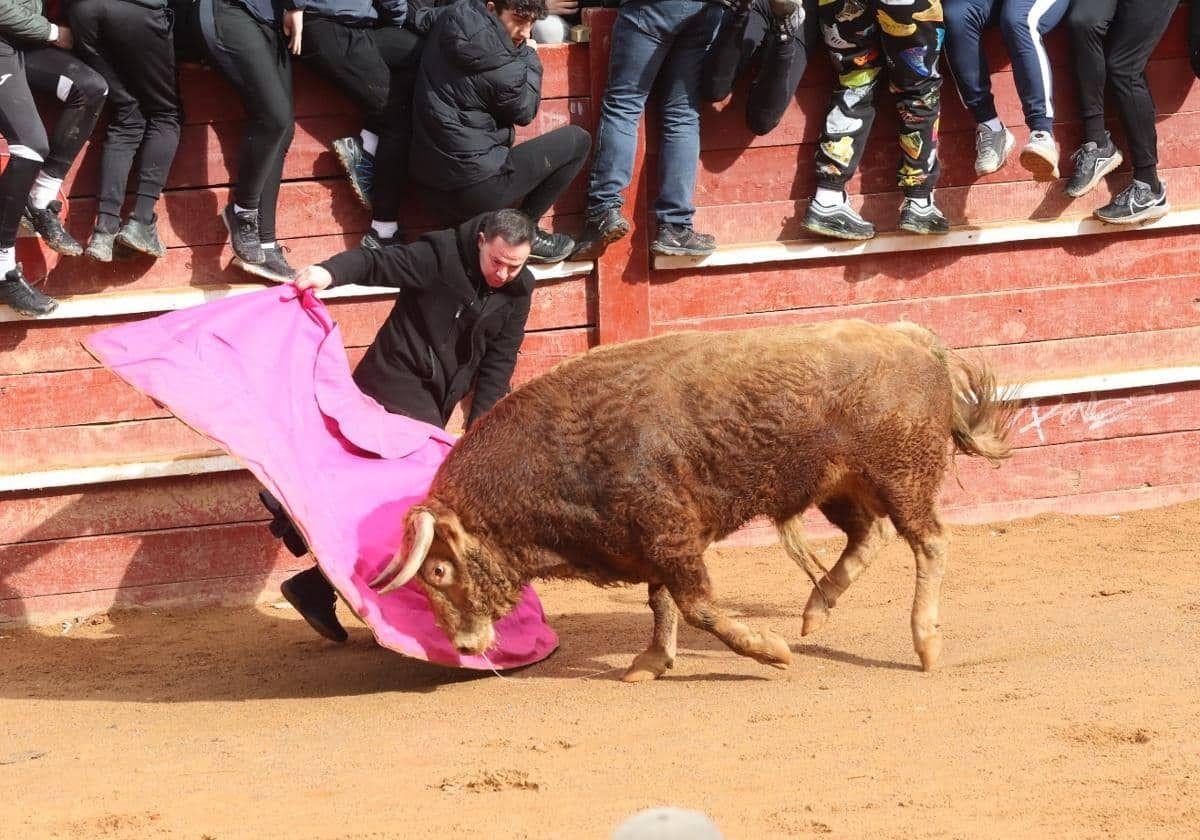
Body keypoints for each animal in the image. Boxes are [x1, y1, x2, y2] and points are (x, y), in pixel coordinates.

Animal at [369, 319, 1017, 681]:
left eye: (440, 569)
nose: (463, 645)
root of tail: (911, 339)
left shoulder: (670, 533)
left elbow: (699, 606)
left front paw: (770, 652)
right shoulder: (648, 540)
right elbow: (662, 605)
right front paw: (651, 663)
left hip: (903, 475)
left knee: (927, 541)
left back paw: (924, 641)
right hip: (837, 483)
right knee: (870, 533)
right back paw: (817, 608)